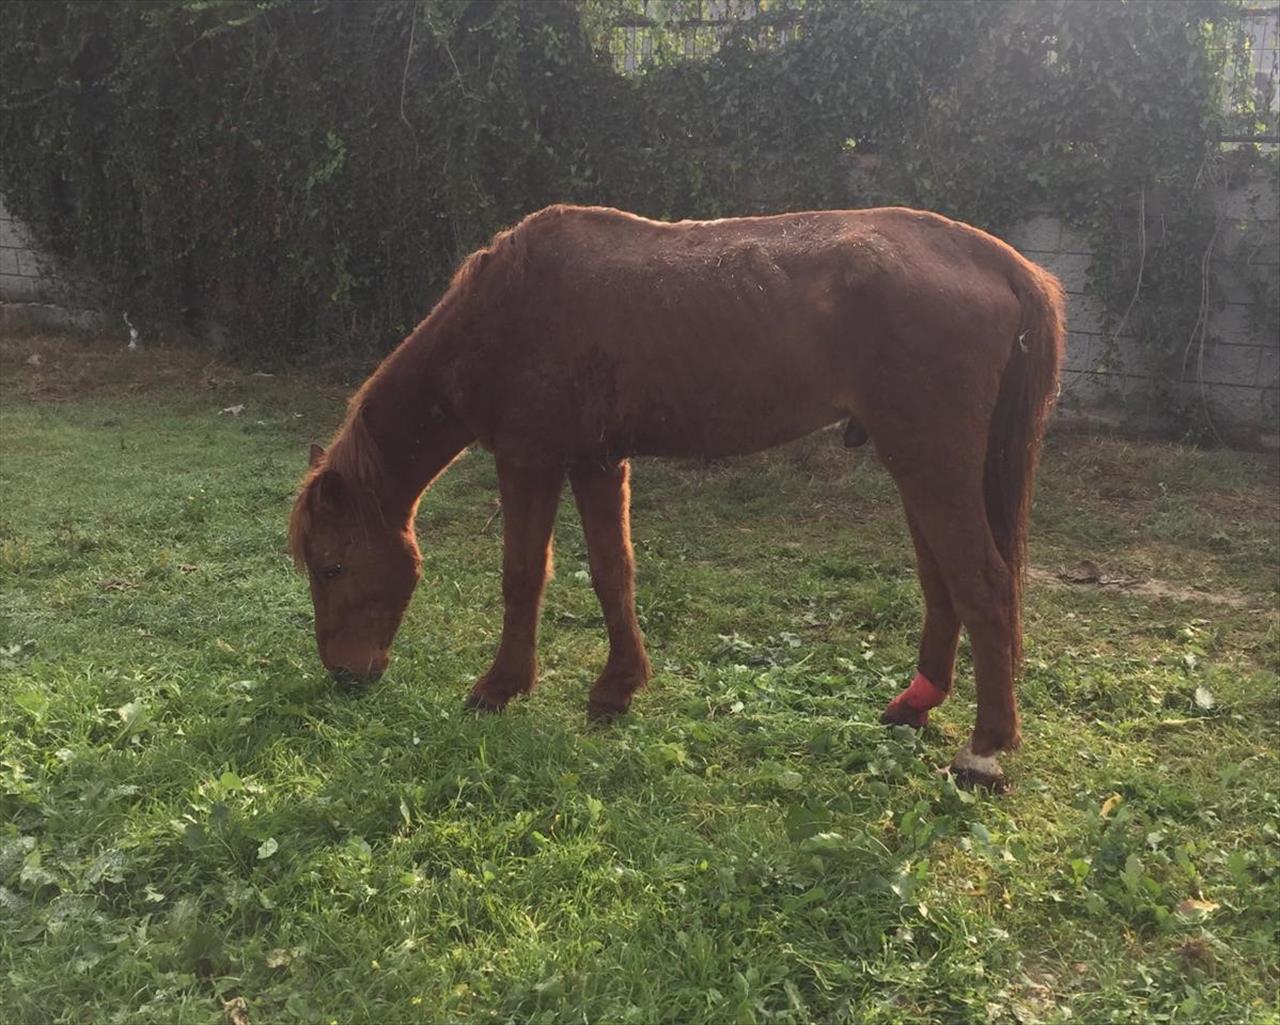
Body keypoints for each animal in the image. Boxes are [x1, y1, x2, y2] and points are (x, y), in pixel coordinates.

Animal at [294, 203, 1064, 788]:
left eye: (331, 566)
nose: (345, 674)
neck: (505, 308)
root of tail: (993, 257)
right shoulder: (597, 462)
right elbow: (613, 574)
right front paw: (617, 687)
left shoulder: (528, 459)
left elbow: (523, 575)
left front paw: (499, 687)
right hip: (919, 467)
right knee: (943, 582)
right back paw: (915, 704)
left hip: (931, 463)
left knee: (984, 585)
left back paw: (984, 749)